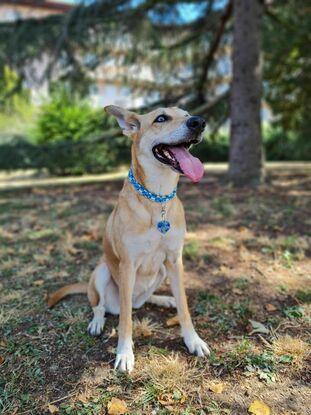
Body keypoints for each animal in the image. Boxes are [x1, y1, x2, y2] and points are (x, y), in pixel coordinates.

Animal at [48, 105, 210, 372]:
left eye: (187, 114)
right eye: (161, 118)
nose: (199, 122)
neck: (157, 199)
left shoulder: (175, 260)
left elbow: (184, 308)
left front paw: (193, 340)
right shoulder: (127, 265)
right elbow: (125, 320)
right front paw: (124, 353)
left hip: (161, 271)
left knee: (140, 302)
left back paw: (164, 299)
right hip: (102, 271)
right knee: (102, 305)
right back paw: (97, 321)